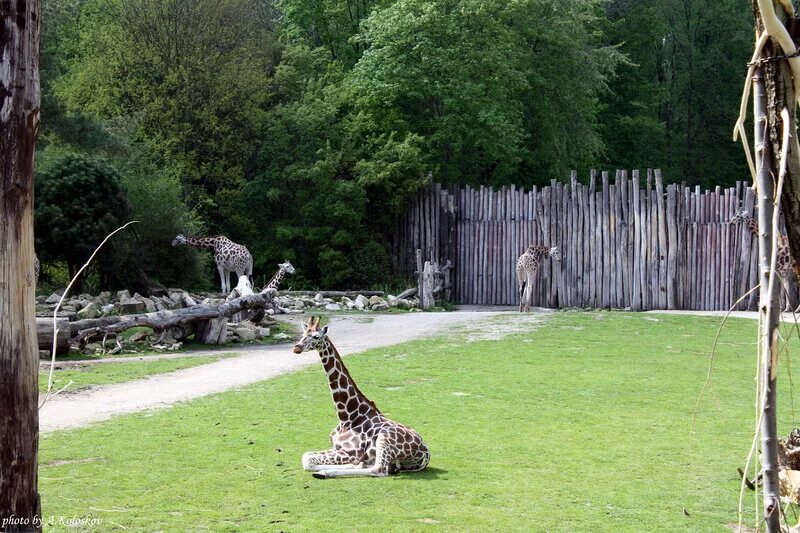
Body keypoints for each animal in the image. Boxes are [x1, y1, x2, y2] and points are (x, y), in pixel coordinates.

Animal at [294, 316, 432, 478]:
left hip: (384, 437)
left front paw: (323, 470)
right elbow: (306, 455)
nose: (296, 348)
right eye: (303, 334)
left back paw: (324, 472)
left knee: (379, 469)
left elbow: (307, 459)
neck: (347, 416)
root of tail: (426, 452)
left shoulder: (351, 452)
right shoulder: (336, 447)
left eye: (316, 336)